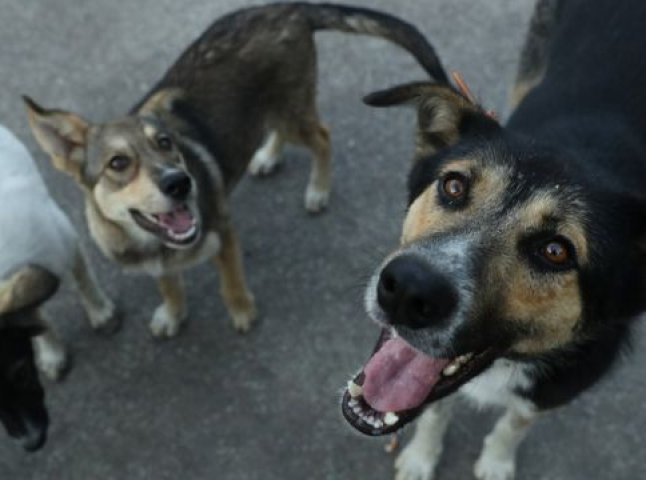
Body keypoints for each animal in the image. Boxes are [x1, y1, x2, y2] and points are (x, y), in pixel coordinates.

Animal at [22, 1, 448, 338]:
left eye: (166, 144)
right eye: (118, 163)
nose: (181, 184)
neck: (155, 241)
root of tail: (288, 8)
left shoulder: (223, 233)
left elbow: (230, 282)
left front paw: (242, 311)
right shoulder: (157, 262)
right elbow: (169, 285)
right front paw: (173, 313)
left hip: (291, 108)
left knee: (322, 137)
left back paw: (317, 189)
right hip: (269, 109)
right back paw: (267, 156)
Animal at [344, 0, 646, 480]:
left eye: (556, 251)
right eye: (453, 186)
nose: (408, 289)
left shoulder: (552, 390)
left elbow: (514, 423)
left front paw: (496, 461)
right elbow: (435, 409)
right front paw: (422, 456)